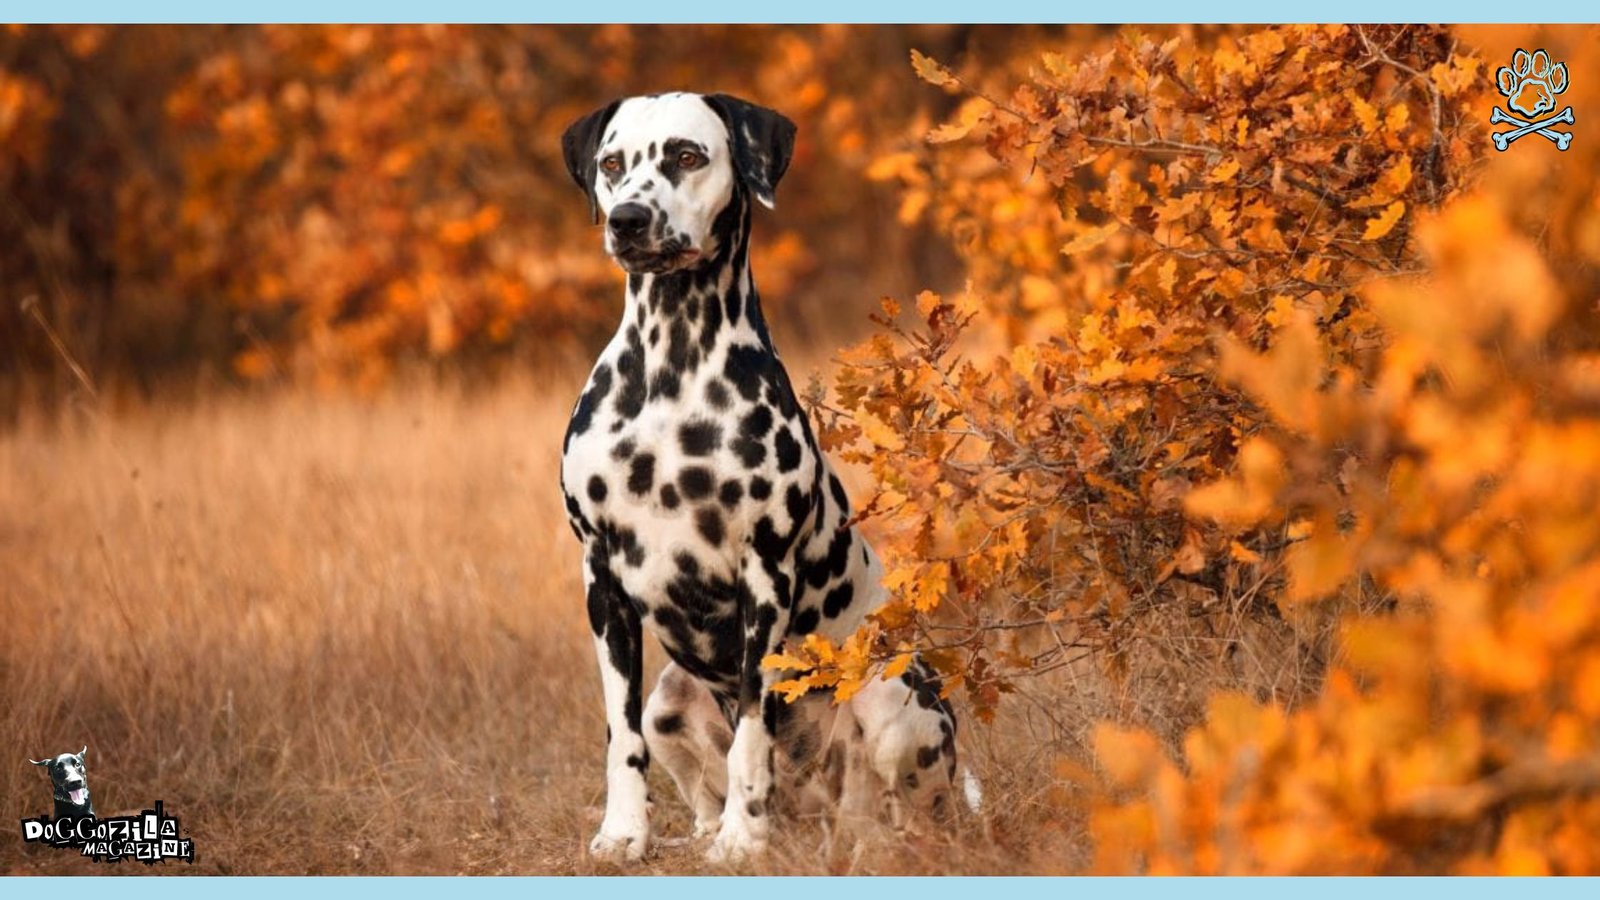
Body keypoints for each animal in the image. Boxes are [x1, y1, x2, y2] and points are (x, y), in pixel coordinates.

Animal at [556, 92, 966, 864]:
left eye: (688, 155)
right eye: (613, 163)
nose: (628, 220)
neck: (672, 370)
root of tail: (816, 809)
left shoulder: (764, 576)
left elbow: (752, 727)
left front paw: (743, 838)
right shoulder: (601, 576)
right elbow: (620, 733)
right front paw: (623, 833)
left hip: (891, 696)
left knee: (903, 812)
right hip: (670, 702)